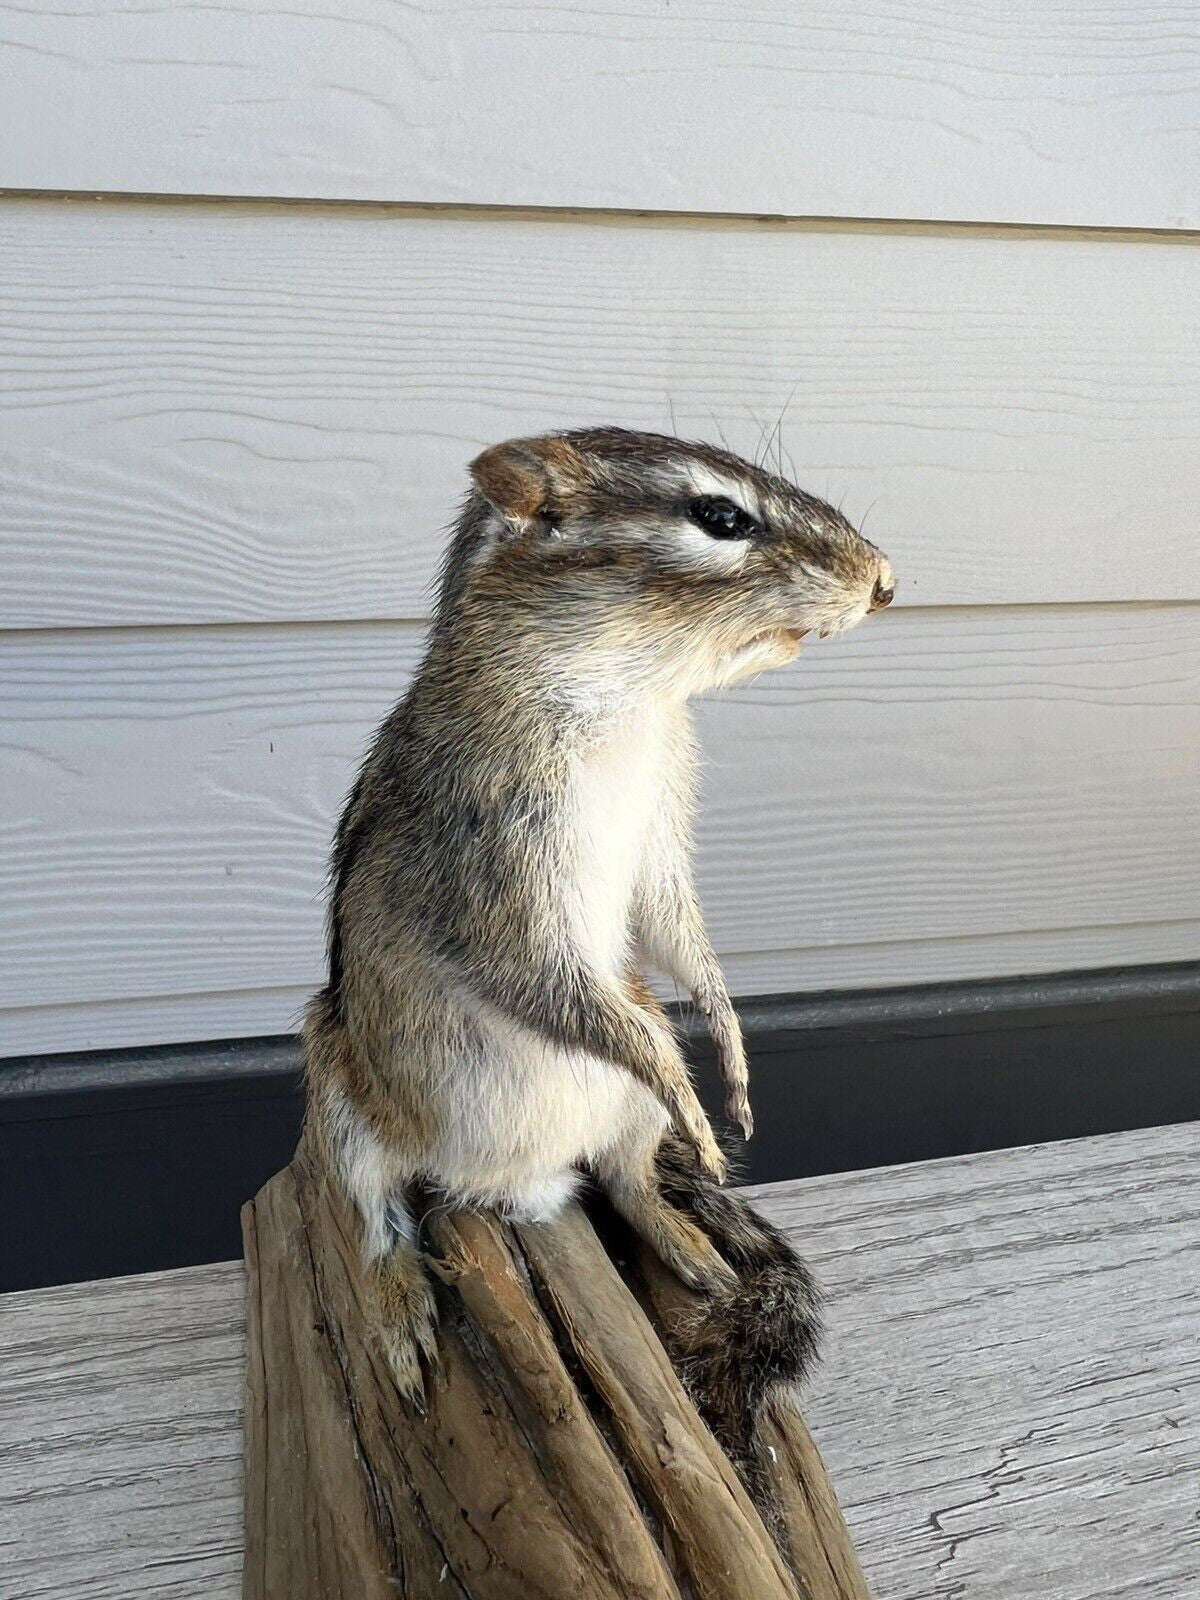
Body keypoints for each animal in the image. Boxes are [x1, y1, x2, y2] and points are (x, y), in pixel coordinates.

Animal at [303, 425, 894, 1454]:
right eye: (720, 517)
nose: (886, 579)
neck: (626, 705)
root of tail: (512, 1189)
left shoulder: (660, 844)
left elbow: (677, 932)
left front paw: (729, 1048)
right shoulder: (497, 879)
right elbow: (546, 982)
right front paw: (691, 1086)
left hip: (619, 1119)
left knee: (624, 1181)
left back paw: (684, 1239)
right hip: (343, 1104)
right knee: (380, 1219)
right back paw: (400, 1307)